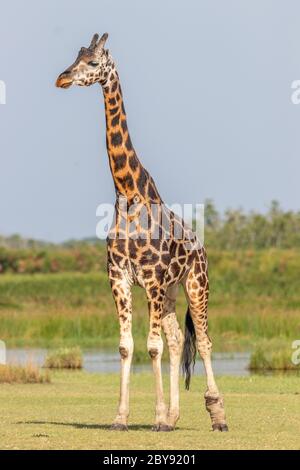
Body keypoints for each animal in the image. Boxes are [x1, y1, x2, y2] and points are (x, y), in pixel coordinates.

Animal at [55, 31, 227, 432]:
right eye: (75, 56)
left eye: (93, 62)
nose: (62, 78)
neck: (127, 192)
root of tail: (201, 246)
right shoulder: (119, 277)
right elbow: (127, 346)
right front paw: (122, 417)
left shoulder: (150, 280)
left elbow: (152, 347)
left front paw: (158, 417)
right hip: (171, 292)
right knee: (178, 339)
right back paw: (176, 416)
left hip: (196, 283)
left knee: (204, 340)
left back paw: (217, 415)